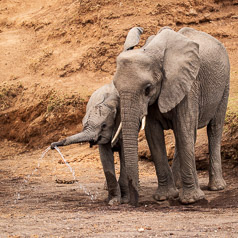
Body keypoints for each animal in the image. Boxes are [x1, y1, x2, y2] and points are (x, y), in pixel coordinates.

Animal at [114, 26, 231, 205]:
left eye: (147, 88)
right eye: (115, 87)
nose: (133, 201)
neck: (152, 51)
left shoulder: (189, 86)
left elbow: (184, 129)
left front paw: (191, 200)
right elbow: (154, 134)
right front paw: (165, 197)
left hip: (224, 84)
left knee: (214, 128)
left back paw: (216, 187)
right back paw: (178, 185)